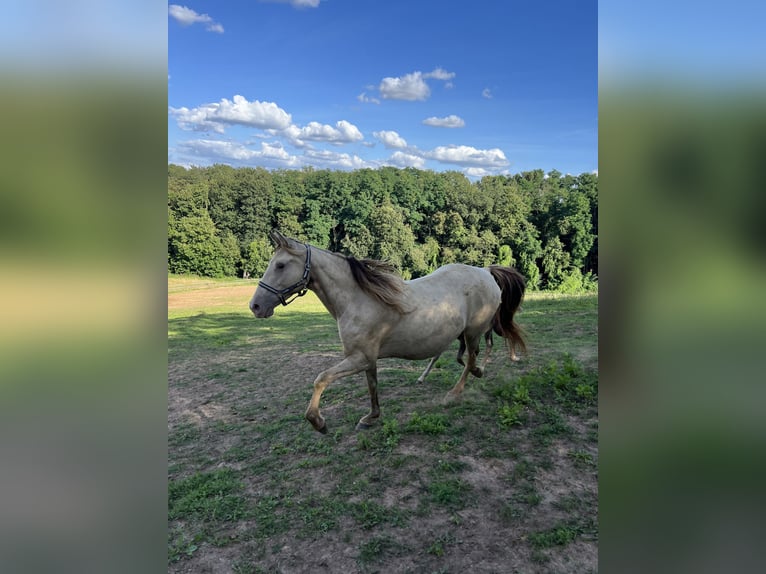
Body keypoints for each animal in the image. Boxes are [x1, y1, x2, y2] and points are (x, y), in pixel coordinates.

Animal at [249, 232, 524, 434]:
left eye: (280, 265)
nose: (255, 306)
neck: (358, 299)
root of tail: (485, 272)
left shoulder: (358, 358)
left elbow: (321, 378)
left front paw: (318, 422)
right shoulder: (367, 359)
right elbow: (372, 386)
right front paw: (371, 417)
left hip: (473, 331)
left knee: (471, 358)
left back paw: (456, 391)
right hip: (467, 333)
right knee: (468, 357)